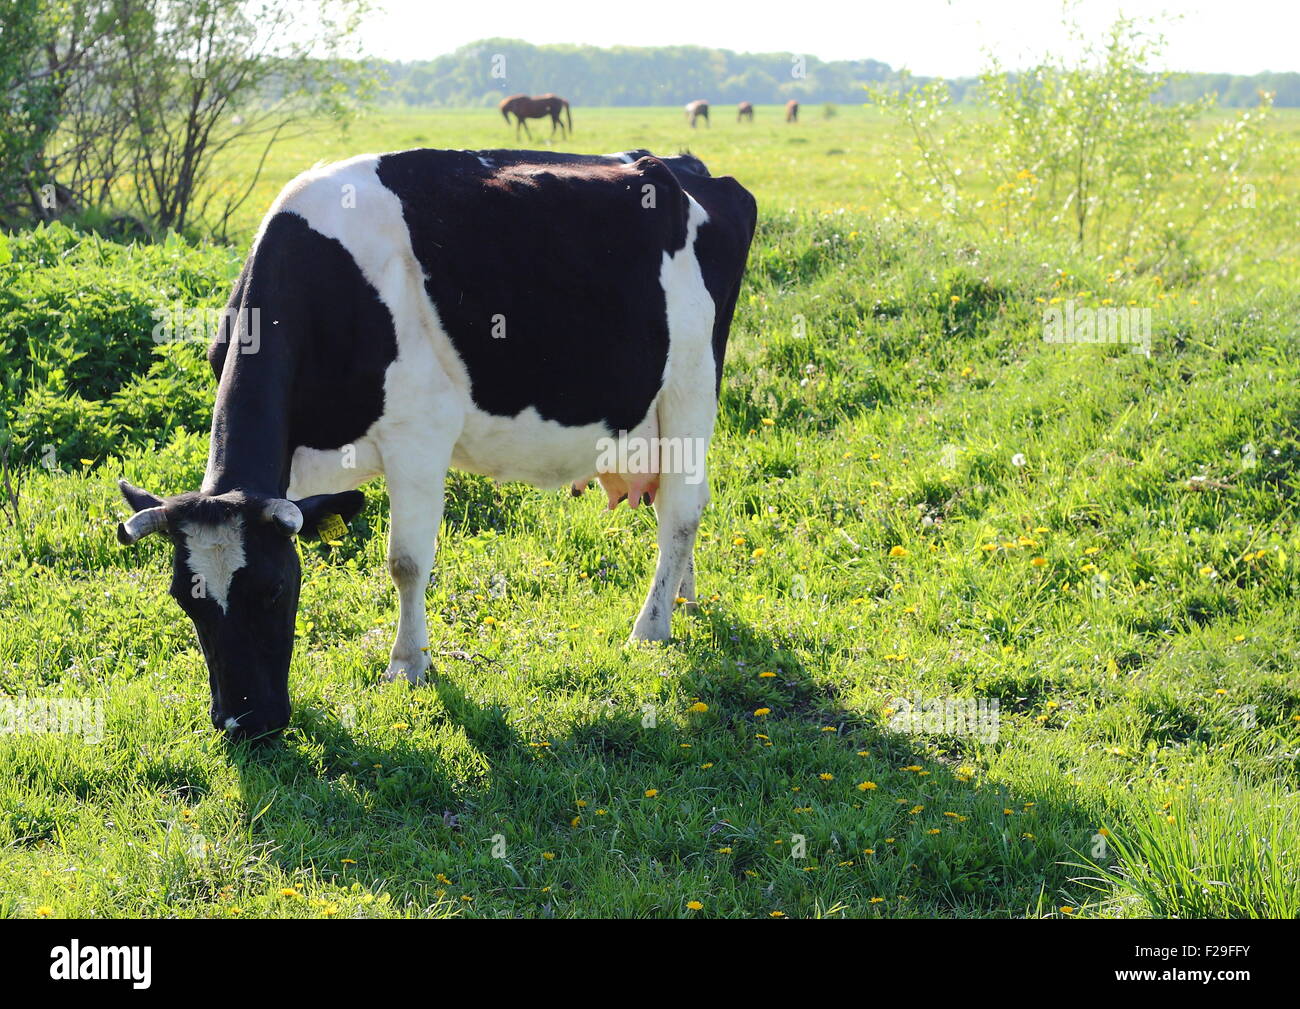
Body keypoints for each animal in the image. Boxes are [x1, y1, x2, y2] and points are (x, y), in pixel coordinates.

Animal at [115, 148, 757, 741]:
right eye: (184, 599)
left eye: (273, 590)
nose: (243, 724)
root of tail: (680, 166)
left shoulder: (419, 435)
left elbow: (405, 562)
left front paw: (407, 666)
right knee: (676, 506)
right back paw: (682, 599)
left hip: (692, 385)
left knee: (681, 513)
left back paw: (651, 628)